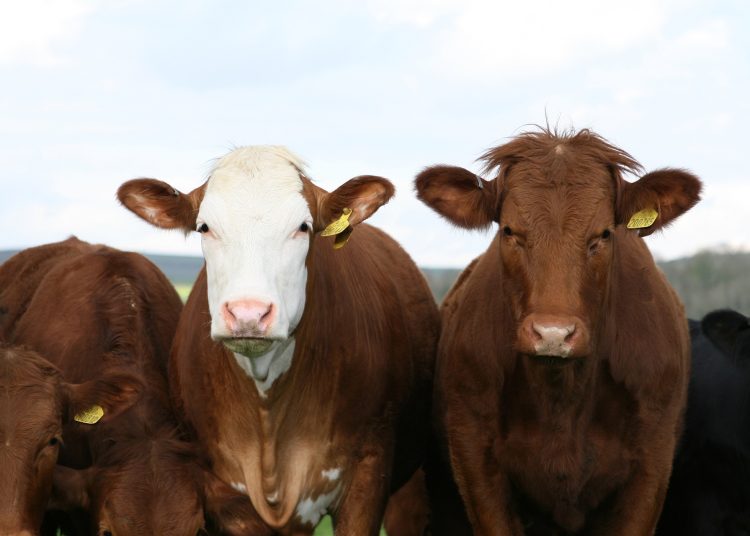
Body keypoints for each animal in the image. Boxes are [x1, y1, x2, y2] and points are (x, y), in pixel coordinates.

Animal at [414, 127, 702, 535]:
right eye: (508, 230)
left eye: (604, 234)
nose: (553, 333)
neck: (562, 399)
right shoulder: (474, 459)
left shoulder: (652, 462)